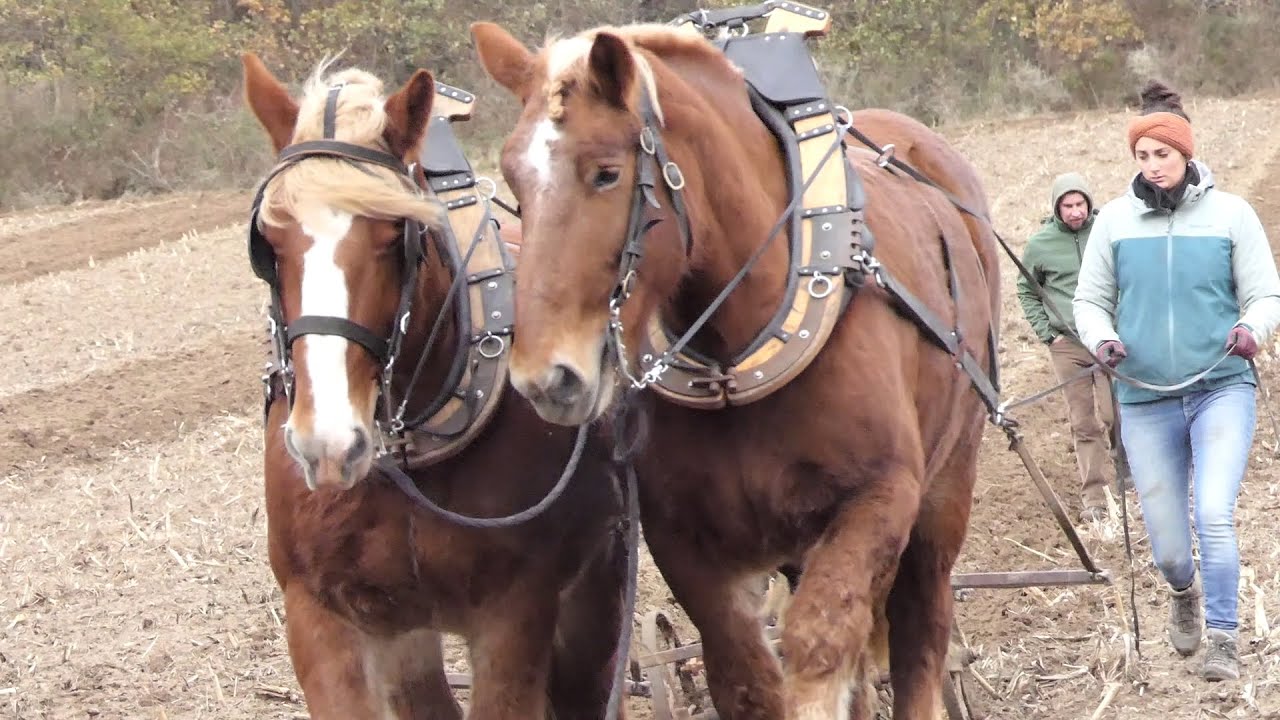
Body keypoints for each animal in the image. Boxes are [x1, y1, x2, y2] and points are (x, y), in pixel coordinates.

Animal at [241, 53, 629, 719]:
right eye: (267, 241)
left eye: (393, 234)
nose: (328, 445)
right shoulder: (325, 617)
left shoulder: (514, 615)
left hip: (596, 584)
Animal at [471, 21, 1000, 720]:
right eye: (513, 180)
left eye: (606, 173)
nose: (545, 378)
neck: (737, 347)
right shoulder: (686, 542)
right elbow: (746, 677)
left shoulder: (880, 500)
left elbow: (818, 648)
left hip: (946, 491)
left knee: (921, 640)